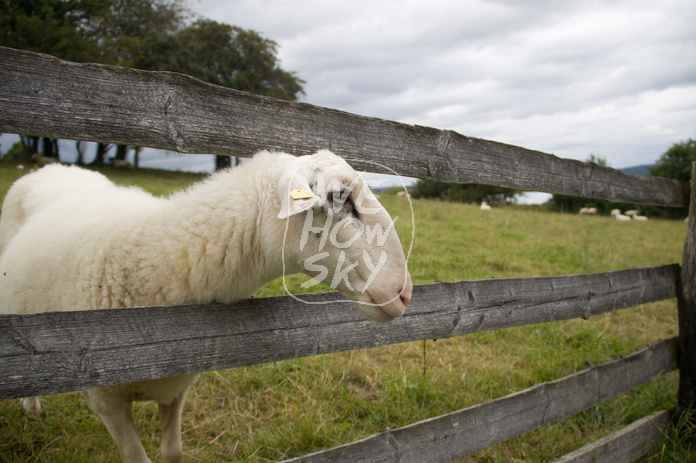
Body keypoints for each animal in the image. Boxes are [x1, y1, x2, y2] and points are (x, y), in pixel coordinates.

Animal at [0, 150, 414, 463]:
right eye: (340, 197)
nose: (404, 293)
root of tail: (52, 167)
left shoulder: (177, 387)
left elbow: (173, 454)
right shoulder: (106, 401)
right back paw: (31, 405)